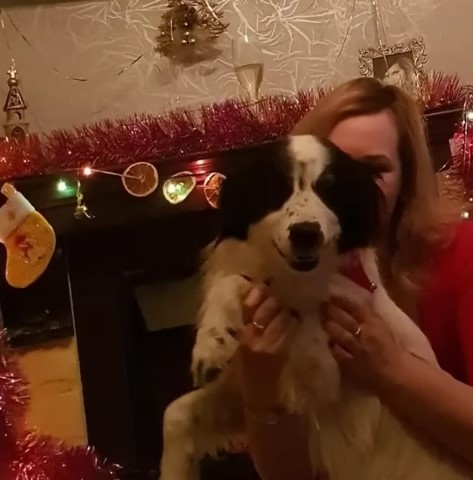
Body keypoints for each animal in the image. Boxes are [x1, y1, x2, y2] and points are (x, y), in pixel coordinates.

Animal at [159, 135, 472, 480]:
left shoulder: (320, 369)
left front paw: (215, 340)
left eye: (330, 189)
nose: (305, 234)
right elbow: (174, 414)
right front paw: (213, 343)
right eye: (276, 187)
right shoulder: (246, 393)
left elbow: (244, 284)